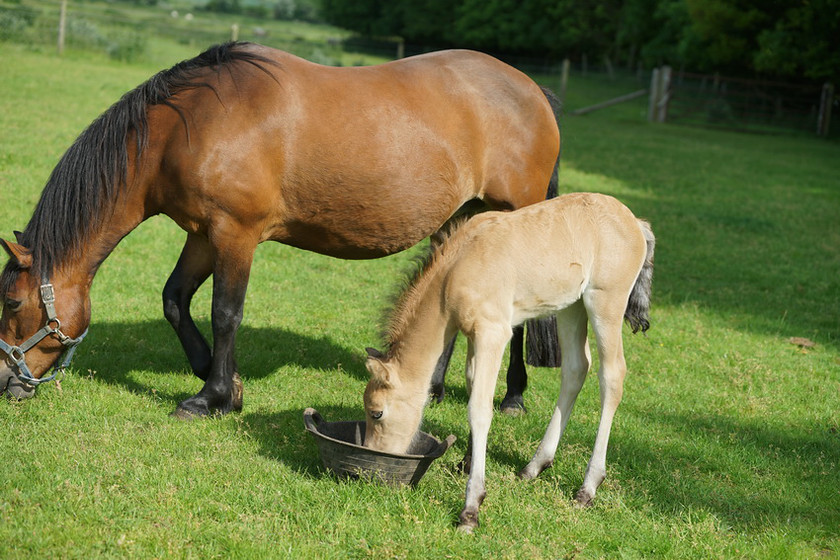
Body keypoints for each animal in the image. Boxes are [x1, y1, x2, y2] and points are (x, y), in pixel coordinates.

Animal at [4, 41, 564, 416]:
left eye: (11, 303)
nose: (9, 381)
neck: (187, 127)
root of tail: (532, 89)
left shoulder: (235, 234)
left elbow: (225, 312)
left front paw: (212, 397)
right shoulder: (202, 233)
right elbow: (174, 300)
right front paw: (216, 376)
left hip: (514, 211)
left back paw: (514, 396)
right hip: (461, 217)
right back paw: (432, 388)